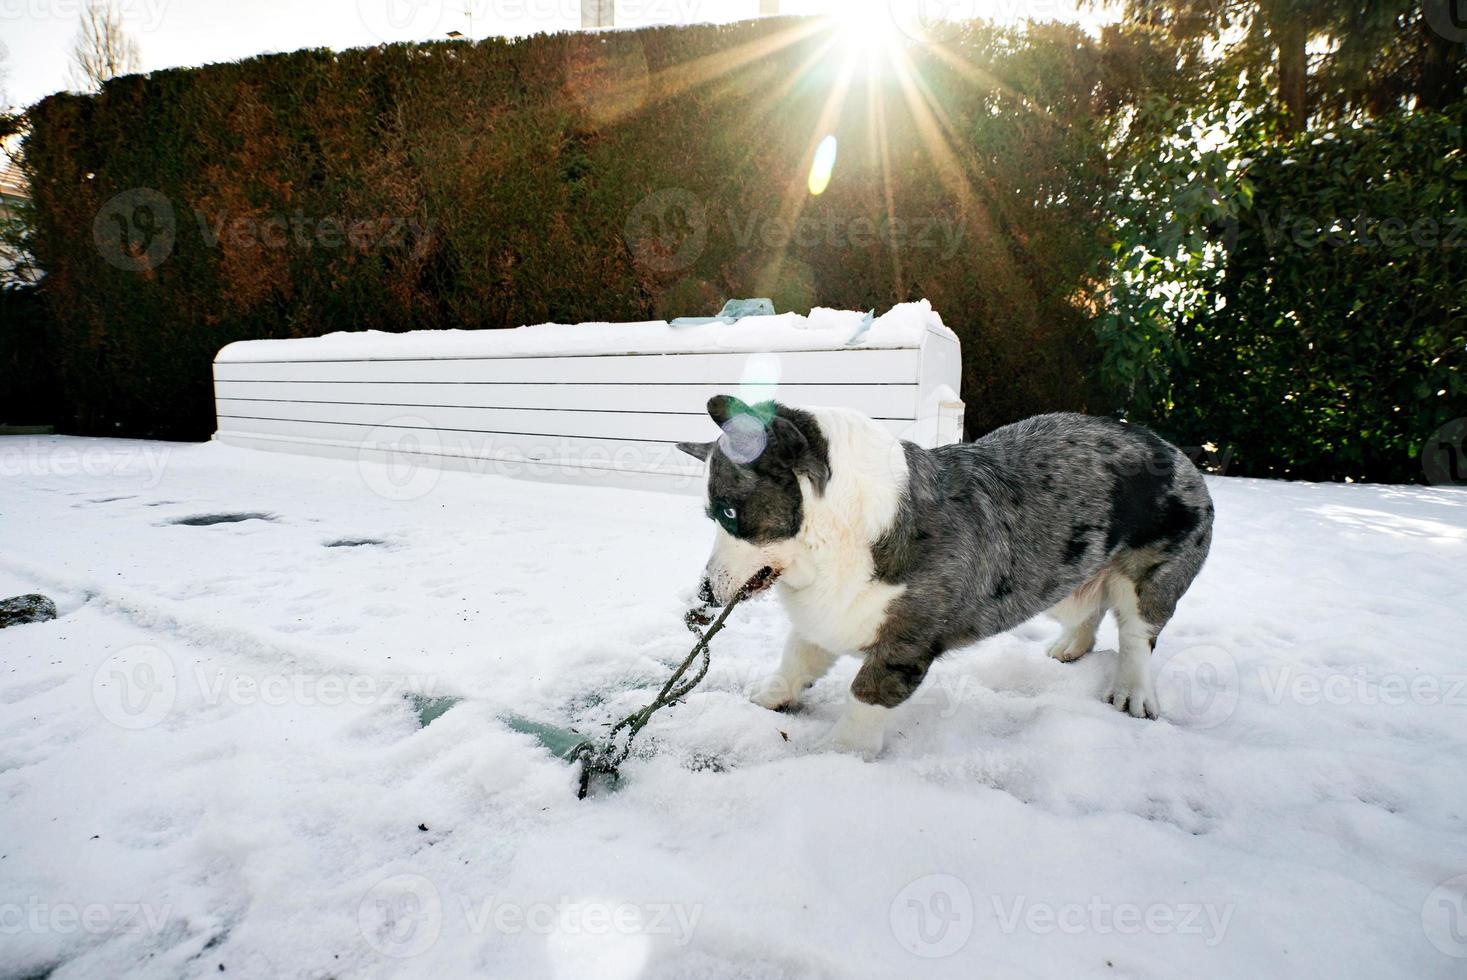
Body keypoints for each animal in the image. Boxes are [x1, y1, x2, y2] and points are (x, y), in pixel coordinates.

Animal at [677, 393, 1214, 757]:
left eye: (728, 512)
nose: (703, 594)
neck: (844, 529)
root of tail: (1176, 451)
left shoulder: (904, 643)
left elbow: (866, 695)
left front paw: (839, 755)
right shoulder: (829, 612)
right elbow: (797, 658)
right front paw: (769, 697)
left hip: (1148, 579)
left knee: (1137, 635)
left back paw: (1133, 693)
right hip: (1063, 572)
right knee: (1090, 609)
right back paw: (1069, 648)